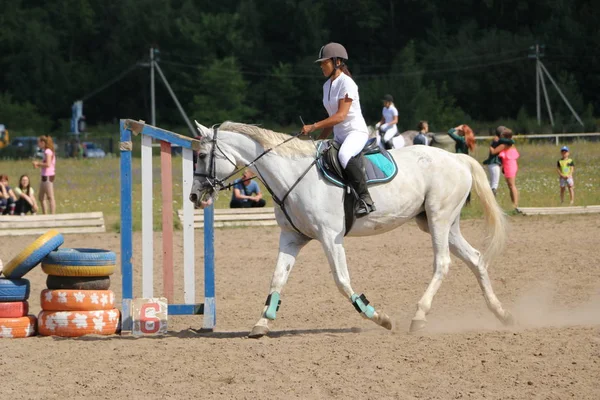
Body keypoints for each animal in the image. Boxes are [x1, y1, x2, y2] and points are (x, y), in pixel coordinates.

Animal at [190, 122, 512, 338]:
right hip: (443, 223)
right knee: (475, 258)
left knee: (443, 263)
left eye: (203, 155)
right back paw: (500, 313)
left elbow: (342, 281)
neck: (290, 176)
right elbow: (277, 278)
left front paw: (377, 316)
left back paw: (419, 316)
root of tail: (457, 158)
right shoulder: (292, 238)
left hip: (438, 219)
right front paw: (262, 322)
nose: (194, 196)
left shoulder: (329, 237)